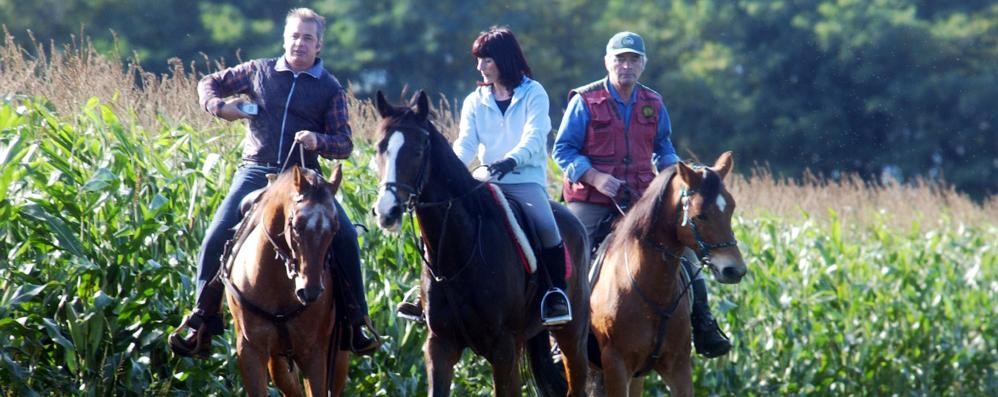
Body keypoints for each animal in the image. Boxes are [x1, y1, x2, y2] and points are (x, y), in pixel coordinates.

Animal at [223, 165, 352, 396]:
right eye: (296, 225)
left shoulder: (314, 352)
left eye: (335, 227)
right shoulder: (250, 350)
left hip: (337, 354)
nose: (310, 291)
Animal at [376, 91, 592, 394]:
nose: (387, 211)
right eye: (379, 148)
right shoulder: (439, 345)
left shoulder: (503, 349)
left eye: (418, 151)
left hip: (572, 336)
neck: (457, 251)